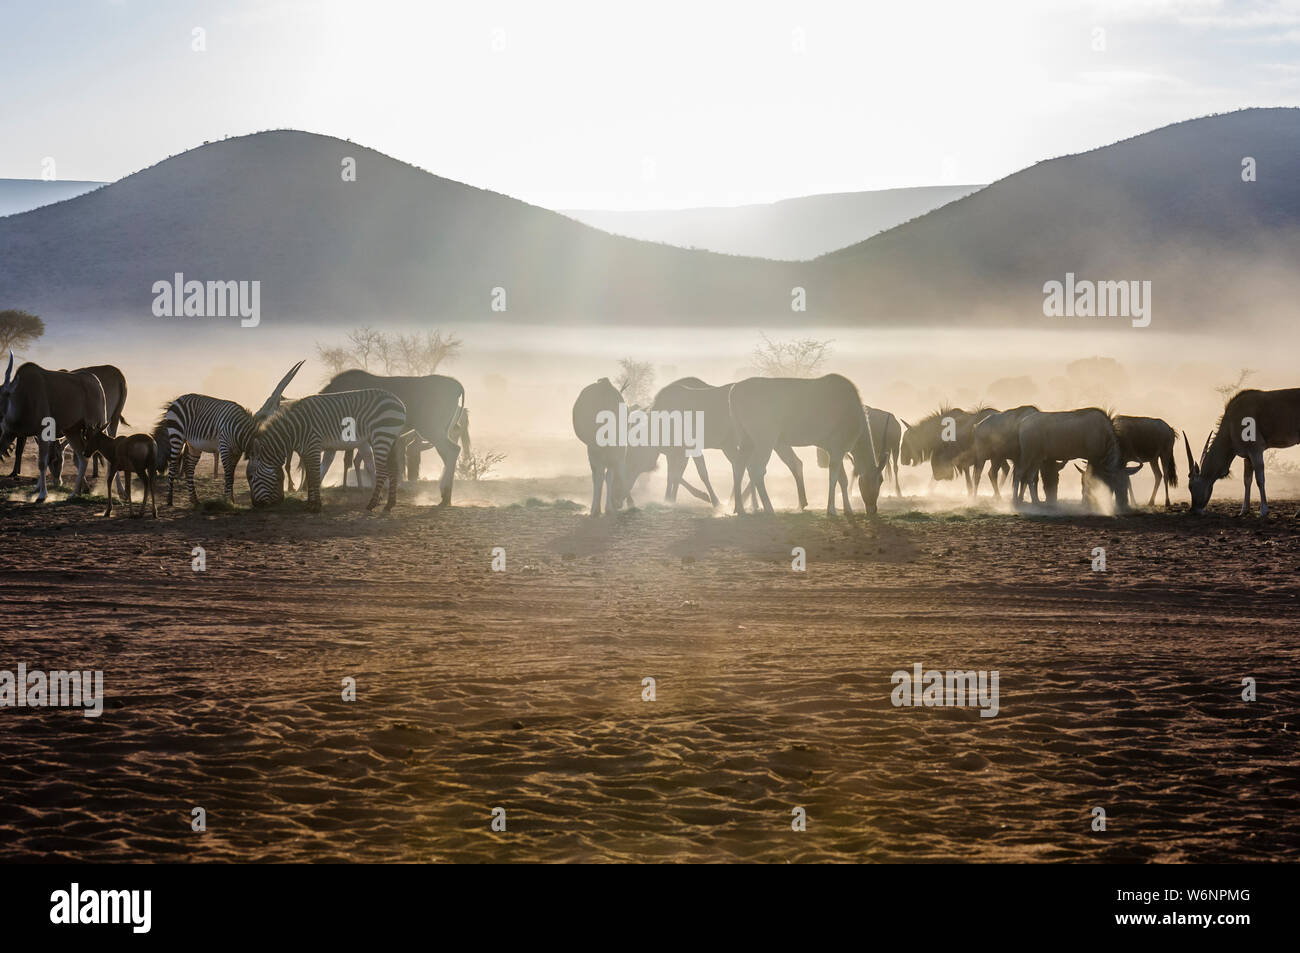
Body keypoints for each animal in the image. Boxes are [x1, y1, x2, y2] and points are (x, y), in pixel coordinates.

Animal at [154, 358, 301, 504]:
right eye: (277, 478)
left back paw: (194, 499)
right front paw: (227, 500)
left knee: (189, 468)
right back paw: (169, 500)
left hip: (194, 444)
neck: (240, 431)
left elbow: (232, 475)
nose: (281, 501)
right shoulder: (224, 448)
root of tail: (177, 399)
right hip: (177, 437)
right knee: (173, 466)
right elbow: (228, 474)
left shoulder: (236, 452)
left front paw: (231, 500)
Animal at [1185, 387, 1300, 517]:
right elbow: (1247, 480)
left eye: (1191, 486)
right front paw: (1244, 510)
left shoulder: (1255, 450)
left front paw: (1263, 510)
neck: (1231, 423)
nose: (1193, 510)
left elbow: (1260, 480)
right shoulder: (1248, 456)